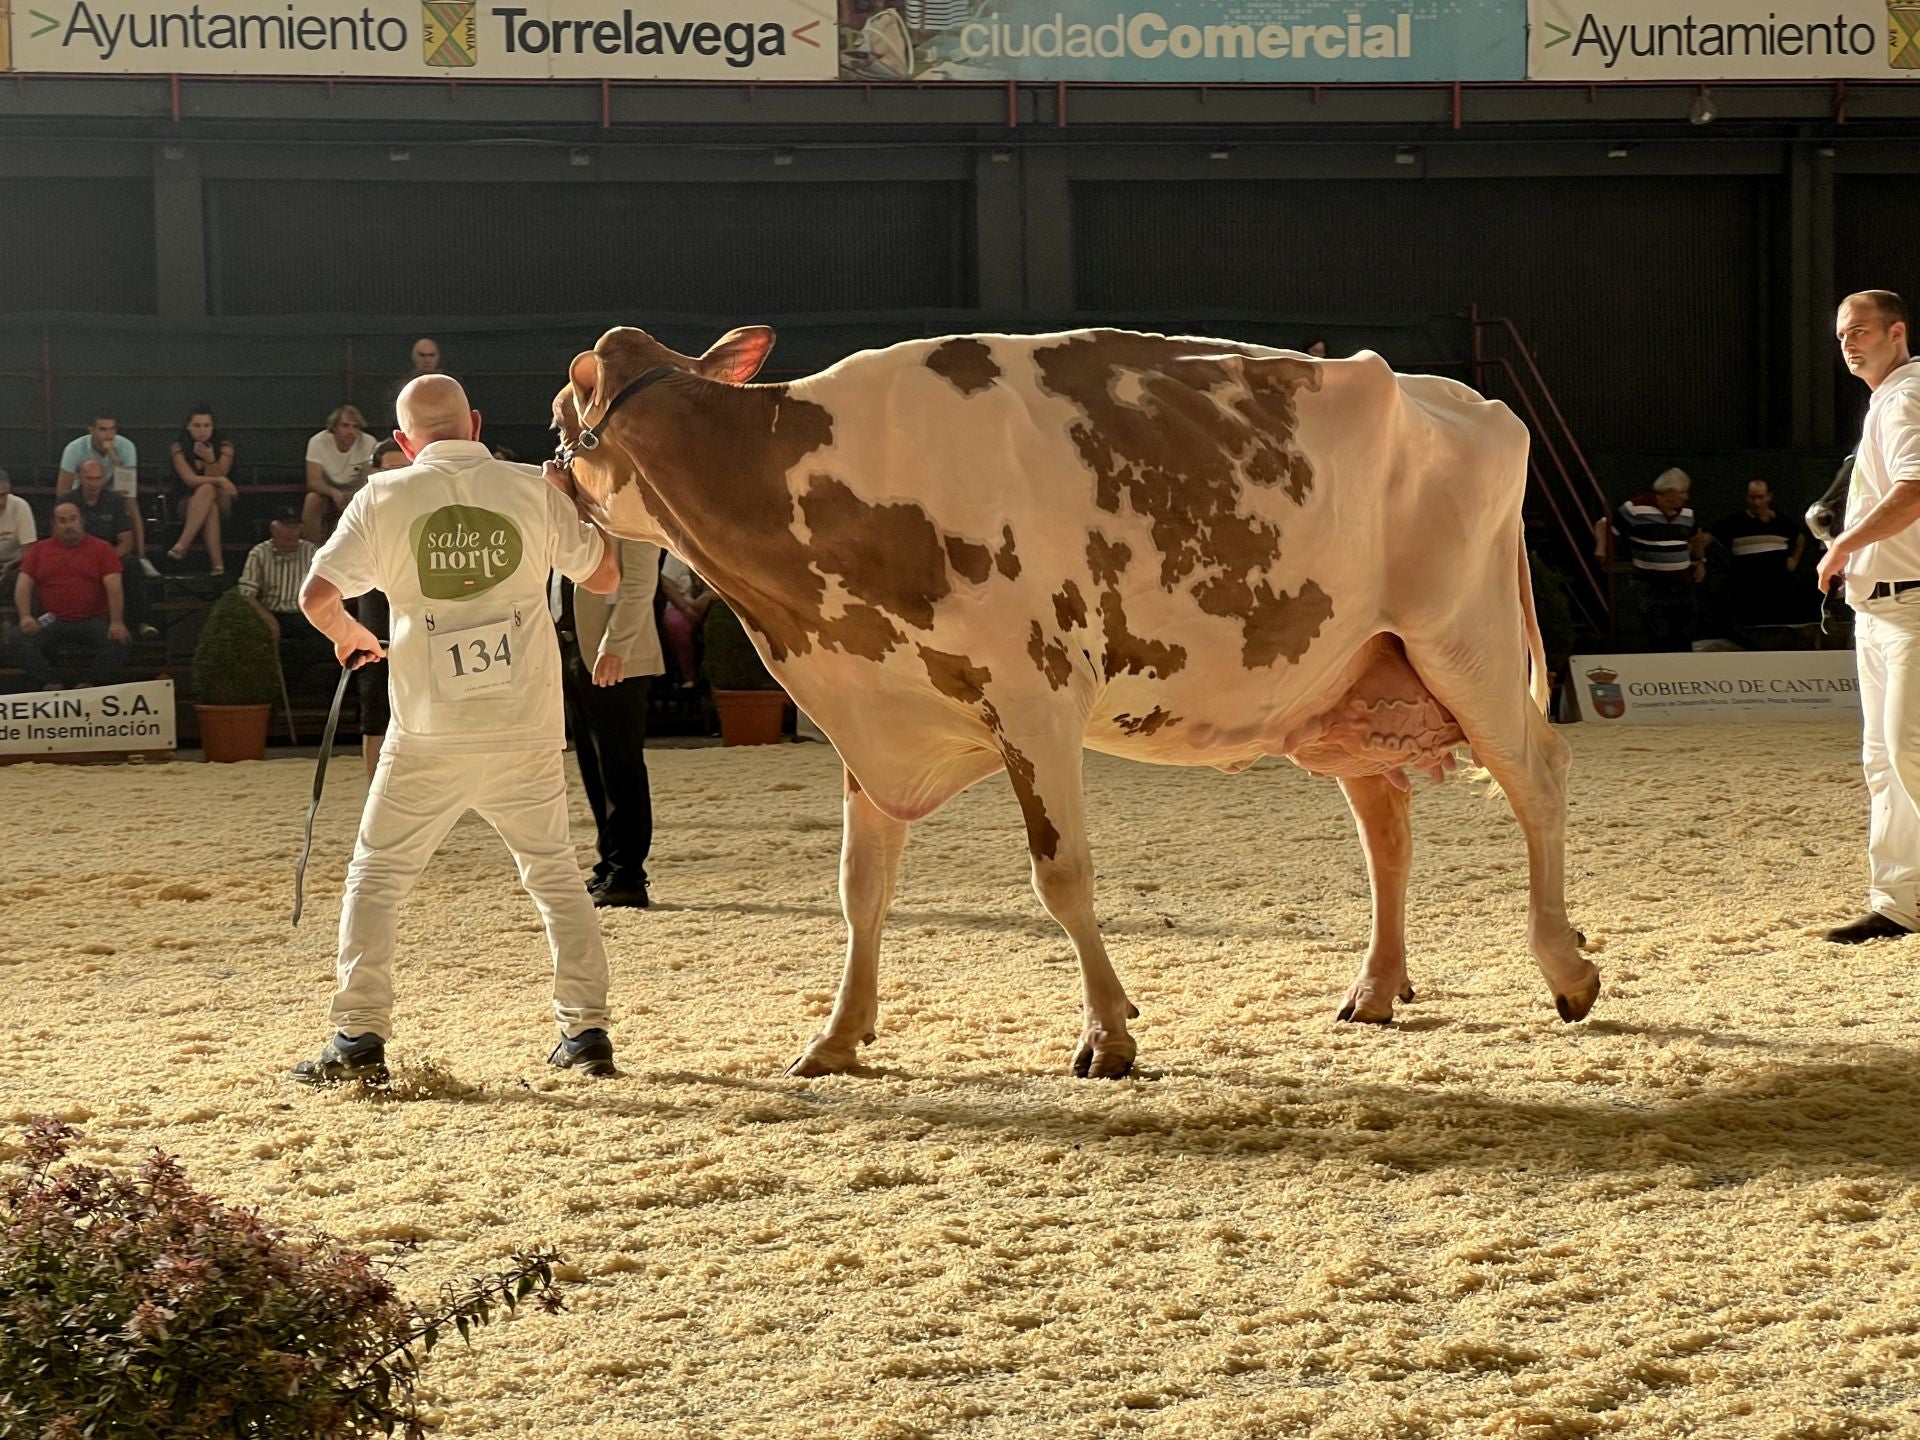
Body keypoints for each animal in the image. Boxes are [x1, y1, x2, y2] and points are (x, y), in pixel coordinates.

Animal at [550, 325, 1600, 1079]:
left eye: (561, 413)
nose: (551, 478)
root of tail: (1462, 394)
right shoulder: (876, 712)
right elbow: (861, 888)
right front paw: (838, 1037)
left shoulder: (1037, 700)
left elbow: (1061, 877)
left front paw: (1109, 1034)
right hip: (1347, 682)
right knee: (1387, 822)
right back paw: (1377, 987)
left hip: (1467, 645)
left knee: (1540, 780)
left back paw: (1568, 970)